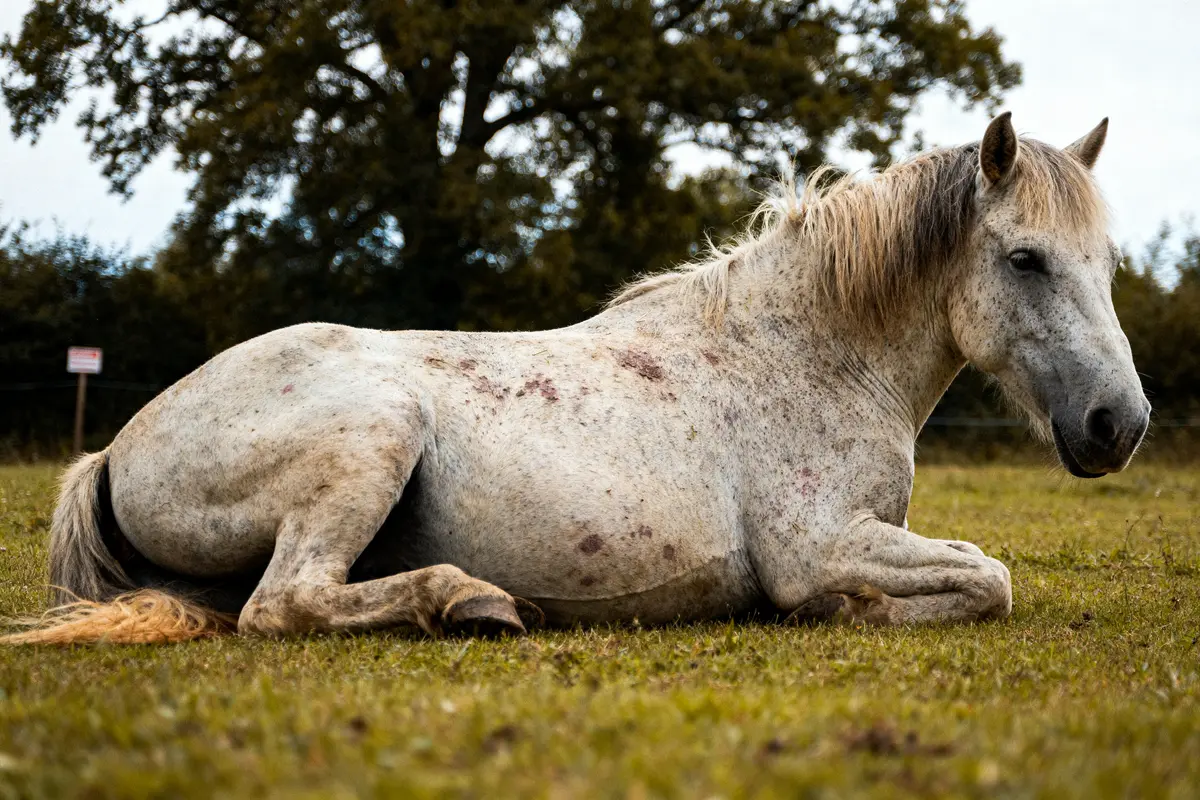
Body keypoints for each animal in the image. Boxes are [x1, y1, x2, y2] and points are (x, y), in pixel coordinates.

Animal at [4, 113, 1149, 645]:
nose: (1120, 422)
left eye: (1105, 262)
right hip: (372, 436)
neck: (805, 354)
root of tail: (115, 450)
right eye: (1025, 260)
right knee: (285, 604)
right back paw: (470, 600)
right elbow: (988, 576)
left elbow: (980, 571)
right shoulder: (819, 544)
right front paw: (855, 611)